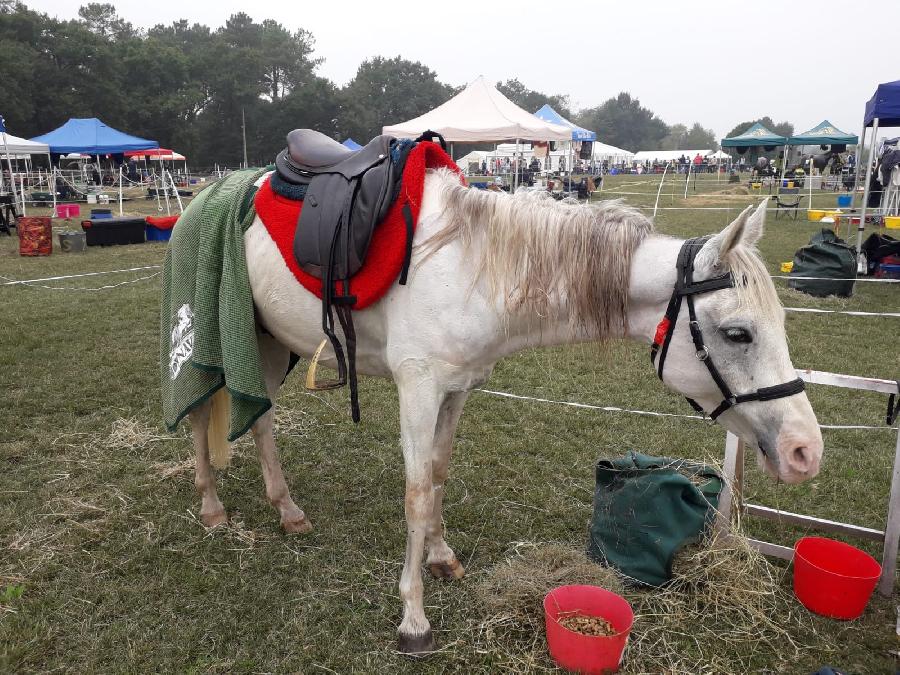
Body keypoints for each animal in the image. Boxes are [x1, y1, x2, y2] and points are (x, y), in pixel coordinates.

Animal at [188, 170, 824, 656]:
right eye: (738, 333)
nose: (805, 451)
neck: (469, 269)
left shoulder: (456, 389)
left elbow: (438, 475)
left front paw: (442, 557)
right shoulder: (418, 388)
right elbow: (416, 493)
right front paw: (413, 618)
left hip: (270, 345)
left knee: (261, 418)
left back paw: (287, 510)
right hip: (214, 342)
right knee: (200, 418)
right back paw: (212, 507)